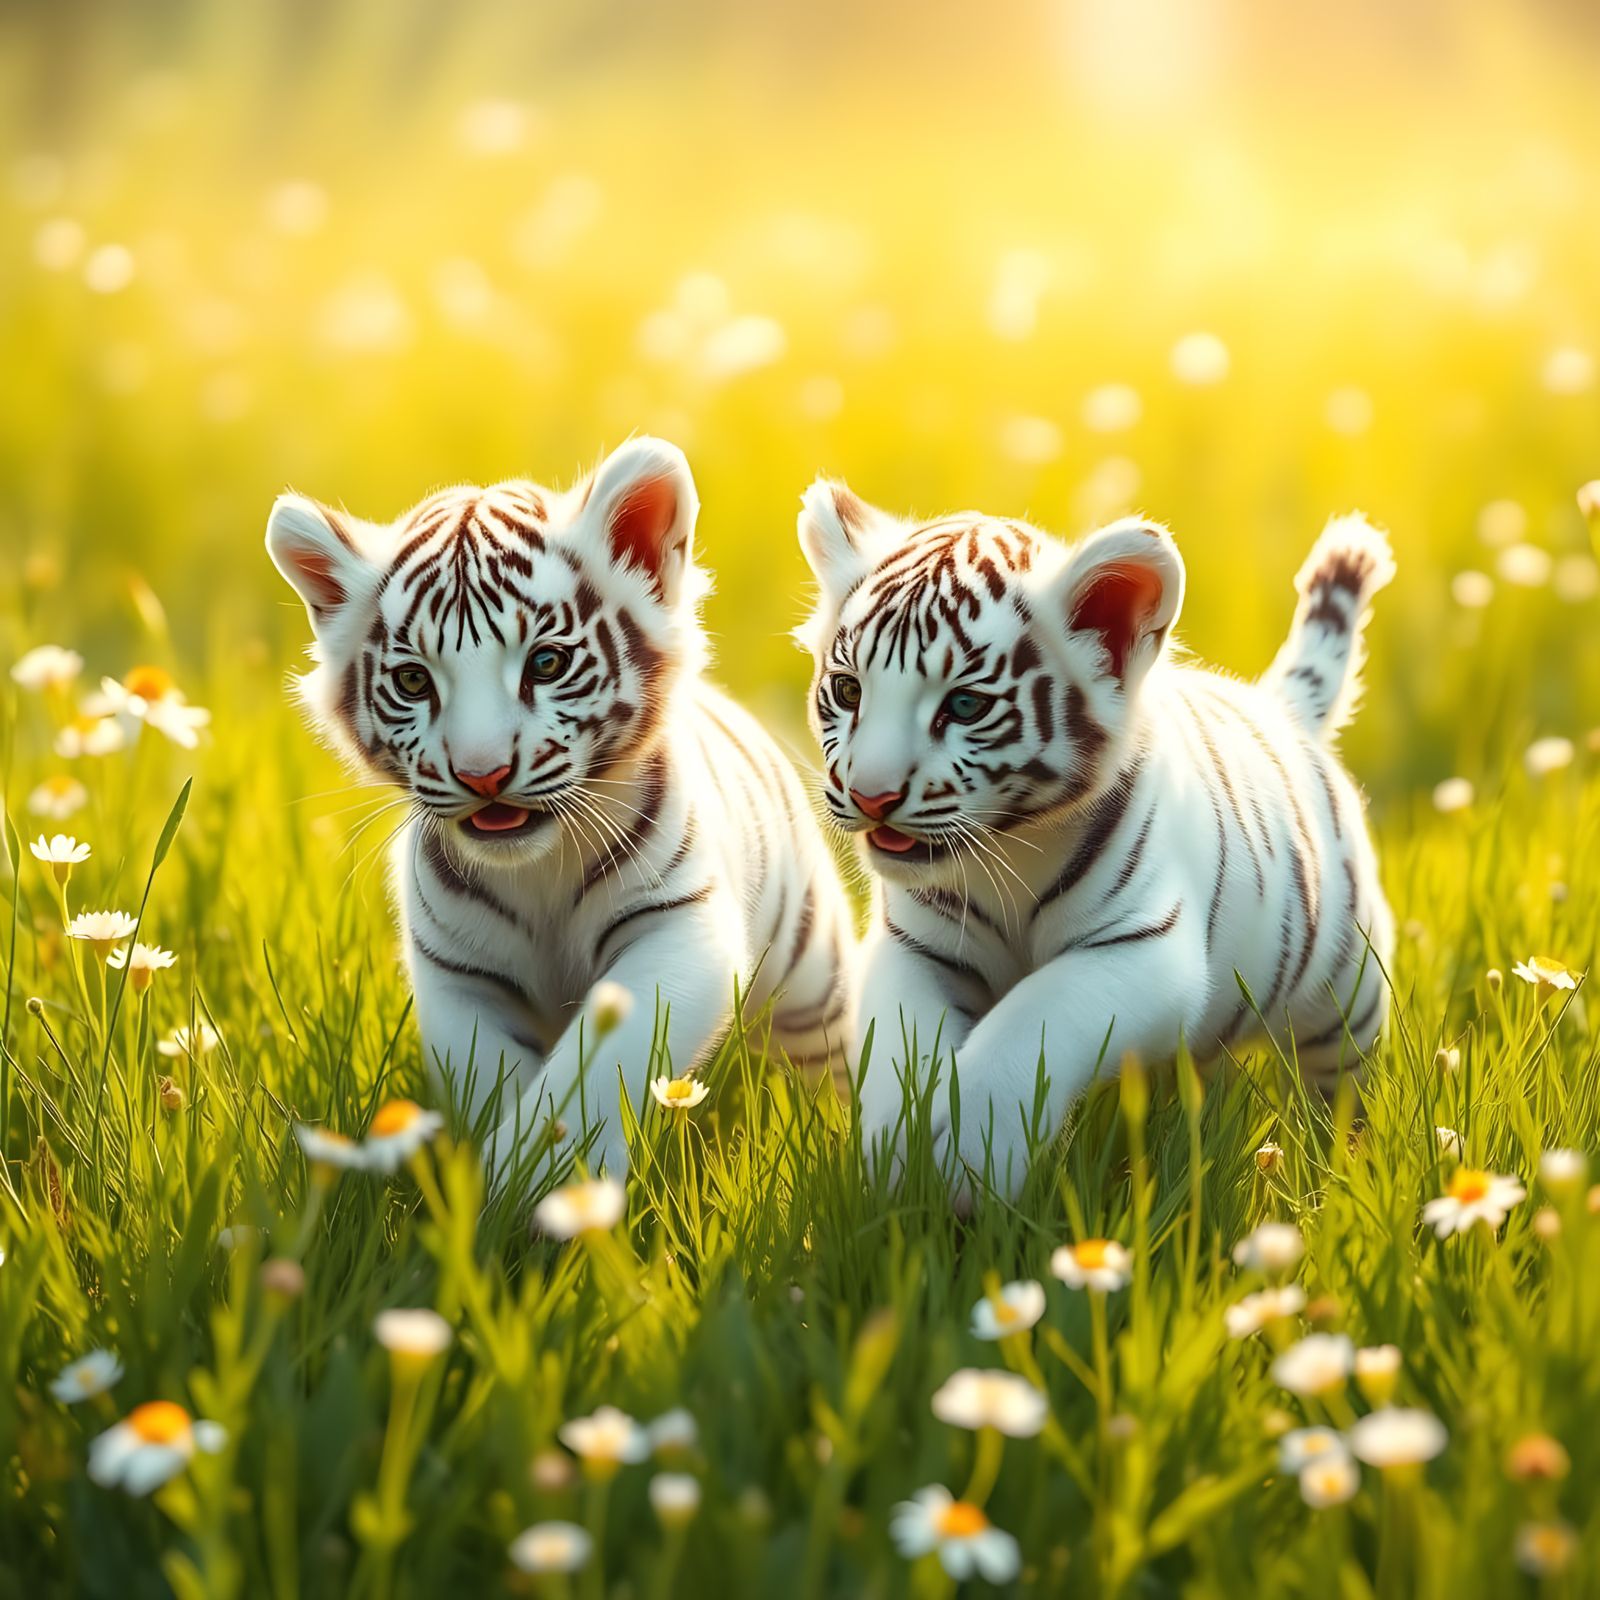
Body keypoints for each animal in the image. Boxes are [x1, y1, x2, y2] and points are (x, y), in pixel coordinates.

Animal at [264, 437, 855, 1186]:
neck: (535, 871)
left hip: (812, 984)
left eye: (545, 664)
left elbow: (588, 1082)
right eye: (413, 681)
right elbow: (493, 1081)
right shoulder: (460, 978)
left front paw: (536, 1184)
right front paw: (495, 1191)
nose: (482, 774)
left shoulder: (674, 929)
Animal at [796, 482, 1395, 1204]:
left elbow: (1032, 1024)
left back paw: (1338, 1165)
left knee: (1339, 1086)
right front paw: (898, 1163)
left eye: (965, 707)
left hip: (1346, 993)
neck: (1009, 854)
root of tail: (1283, 710)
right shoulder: (917, 948)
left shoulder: (1139, 948)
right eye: (848, 690)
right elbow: (898, 1048)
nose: (870, 797)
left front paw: (969, 1161)